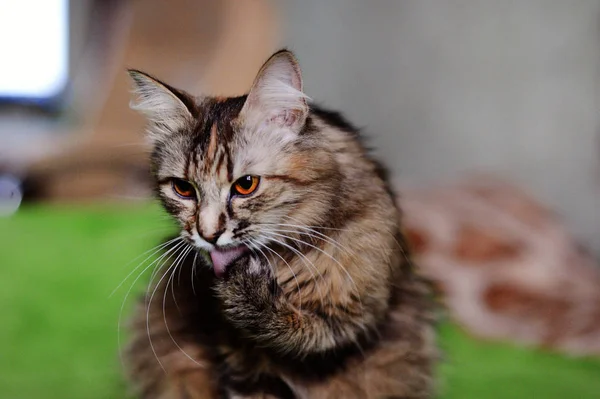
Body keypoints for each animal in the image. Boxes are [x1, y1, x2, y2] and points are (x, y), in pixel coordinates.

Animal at [125, 50, 436, 399]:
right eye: (183, 189)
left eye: (246, 185)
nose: (208, 235)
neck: (281, 263)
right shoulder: (237, 357)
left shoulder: (354, 315)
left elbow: (298, 329)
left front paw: (247, 289)